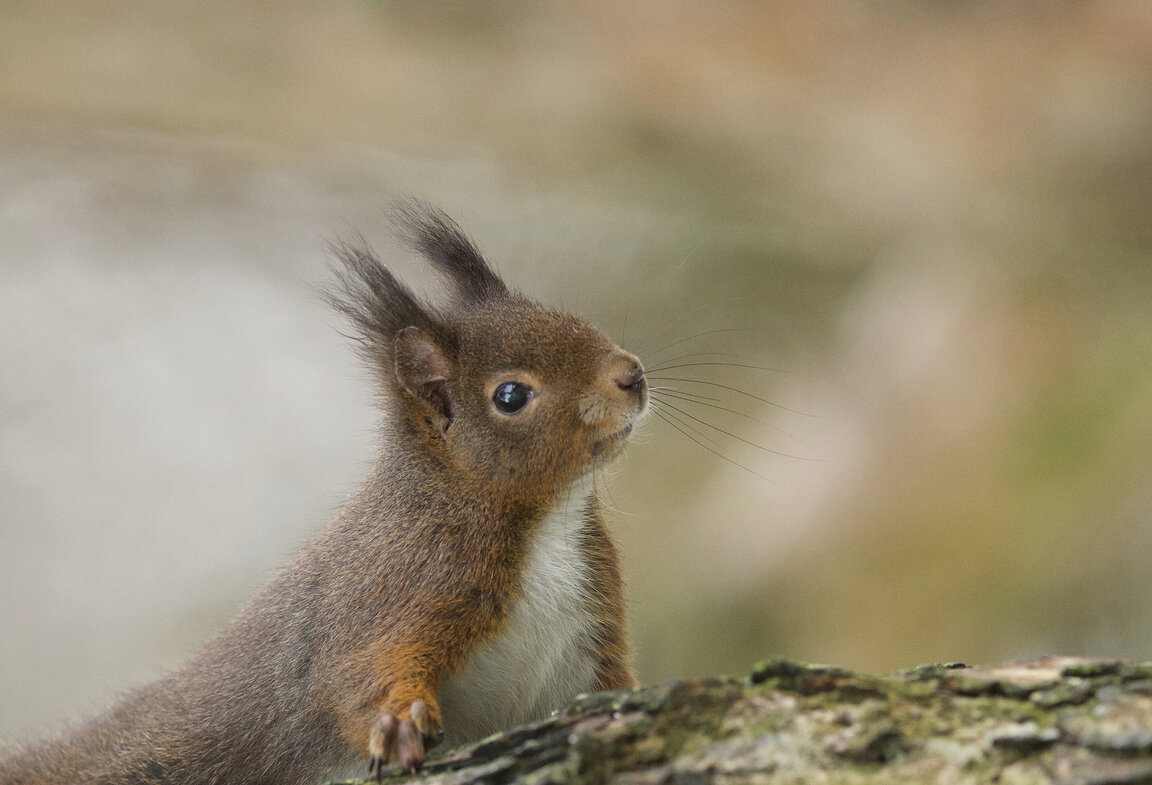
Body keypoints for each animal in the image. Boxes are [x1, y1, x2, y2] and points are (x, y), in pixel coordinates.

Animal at [0, 205, 647, 784]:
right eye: (511, 396)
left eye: (575, 319)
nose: (632, 375)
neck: (546, 522)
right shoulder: (396, 590)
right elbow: (354, 678)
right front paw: (400, 722)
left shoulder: (588, 633)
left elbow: (614, 684)